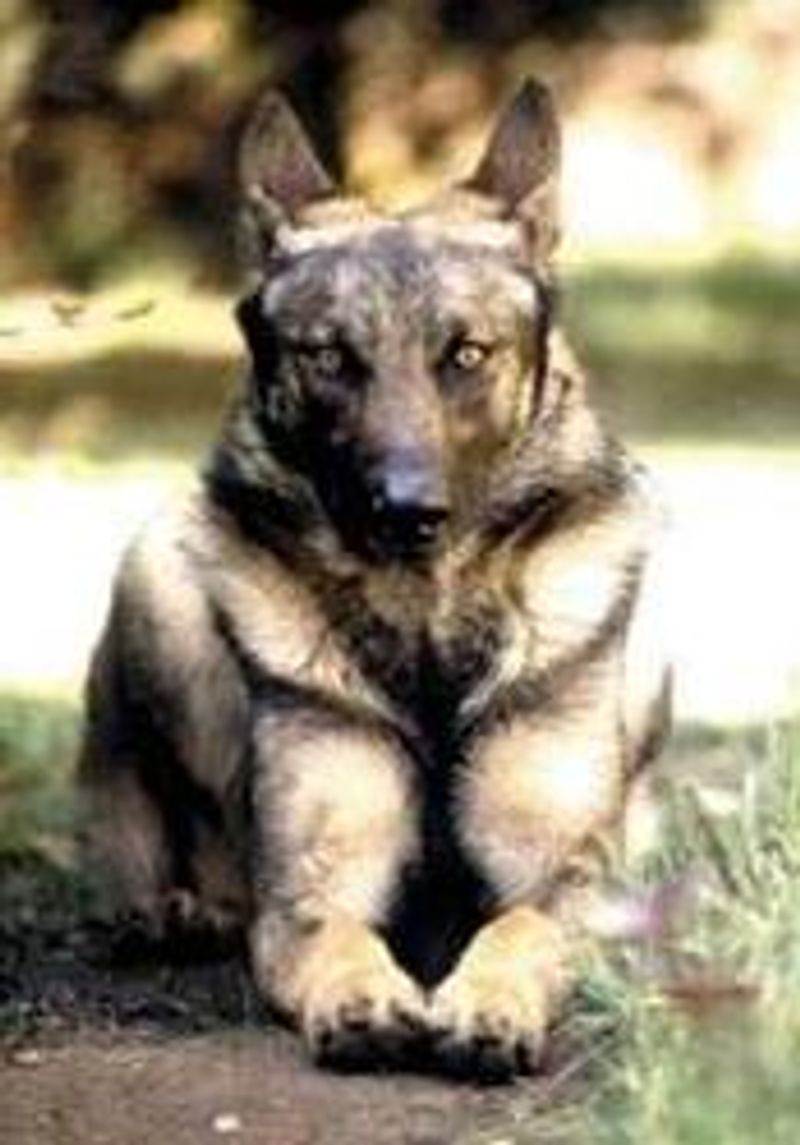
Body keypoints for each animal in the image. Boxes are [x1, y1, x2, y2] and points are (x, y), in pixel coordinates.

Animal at [79, 79, 670, 1079]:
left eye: (467, 353)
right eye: (328, 357)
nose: (405, 511)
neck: (426, 624)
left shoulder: (567, 877)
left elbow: (516, 928)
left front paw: (488, 1002)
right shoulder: (318, 883)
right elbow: (336, 932)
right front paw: (361, 996)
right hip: (154, 569)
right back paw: (176, 910)